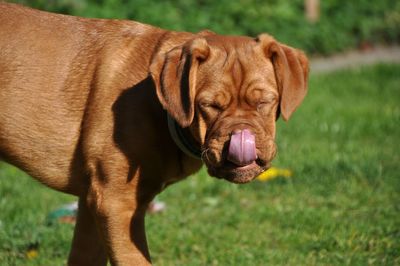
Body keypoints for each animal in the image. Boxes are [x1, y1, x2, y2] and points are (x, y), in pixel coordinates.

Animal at [0, 2, 310, 266]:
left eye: (264, 102)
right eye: (209, 105)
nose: (240, 134)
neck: (161, 107)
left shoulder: (91, 203)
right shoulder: (116, 203)